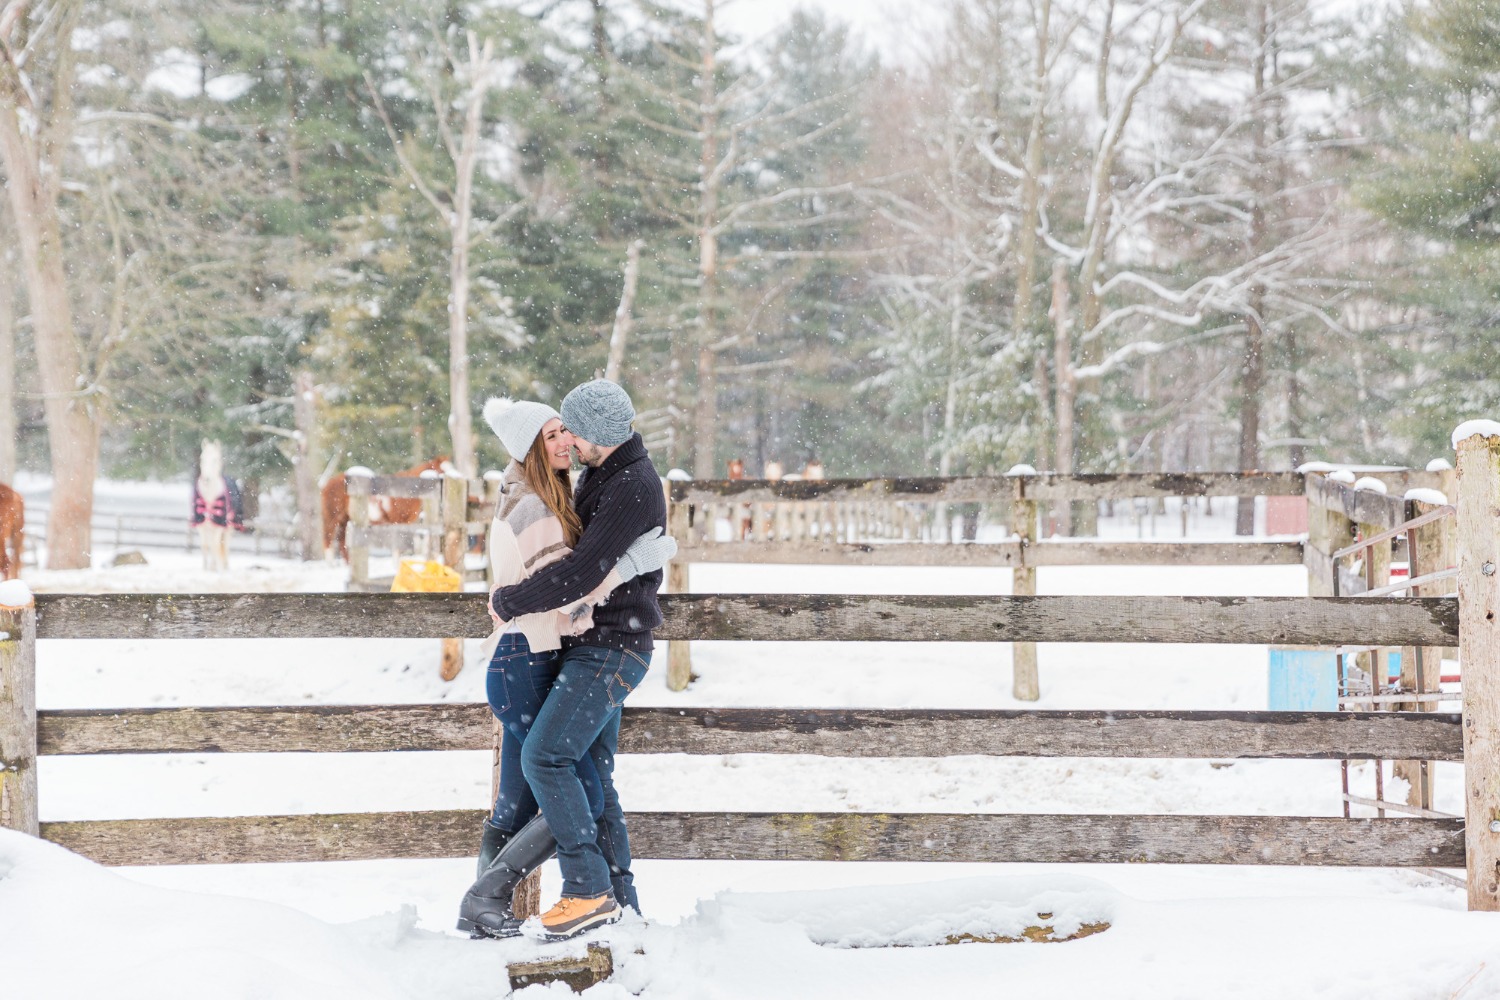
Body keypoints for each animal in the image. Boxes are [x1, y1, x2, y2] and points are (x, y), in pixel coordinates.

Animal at [319, 458, 447, 560]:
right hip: (332, 519)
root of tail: (327, 484)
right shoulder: (397, 522)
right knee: (328, 541)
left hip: (345, 520)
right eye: (441, 471)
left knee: (342, 543)